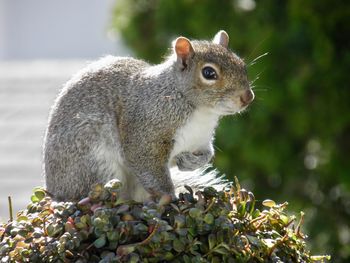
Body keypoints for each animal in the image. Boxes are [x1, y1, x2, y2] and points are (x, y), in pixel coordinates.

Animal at [43, 31, 254, 203]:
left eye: (242, 65)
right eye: (209, 73)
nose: (248, 97)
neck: (201, 112)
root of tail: (54, 190)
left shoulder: (199, 140)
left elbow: (207, 154)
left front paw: (190, 162)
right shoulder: (147, 130)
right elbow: (147, 163)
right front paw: (171, 197)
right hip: (95, 163)